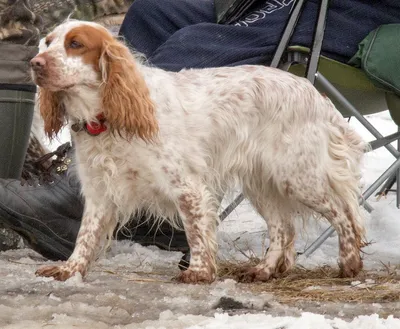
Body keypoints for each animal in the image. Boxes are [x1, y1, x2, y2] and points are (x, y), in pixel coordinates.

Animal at [31, 19, 366, 282]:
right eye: (47, 42)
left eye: (76, 44)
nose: (35, 64)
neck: (106, 117)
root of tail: (317, 95)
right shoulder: (99, 192)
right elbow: (85, 236)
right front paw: (70, 269)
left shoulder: (187, 188)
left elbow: (195, 232)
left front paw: (199, 272)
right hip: (262, 185)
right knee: (283, 228)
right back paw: (264, 270)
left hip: (297, 177)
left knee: (343, 213)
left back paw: (349, 263)